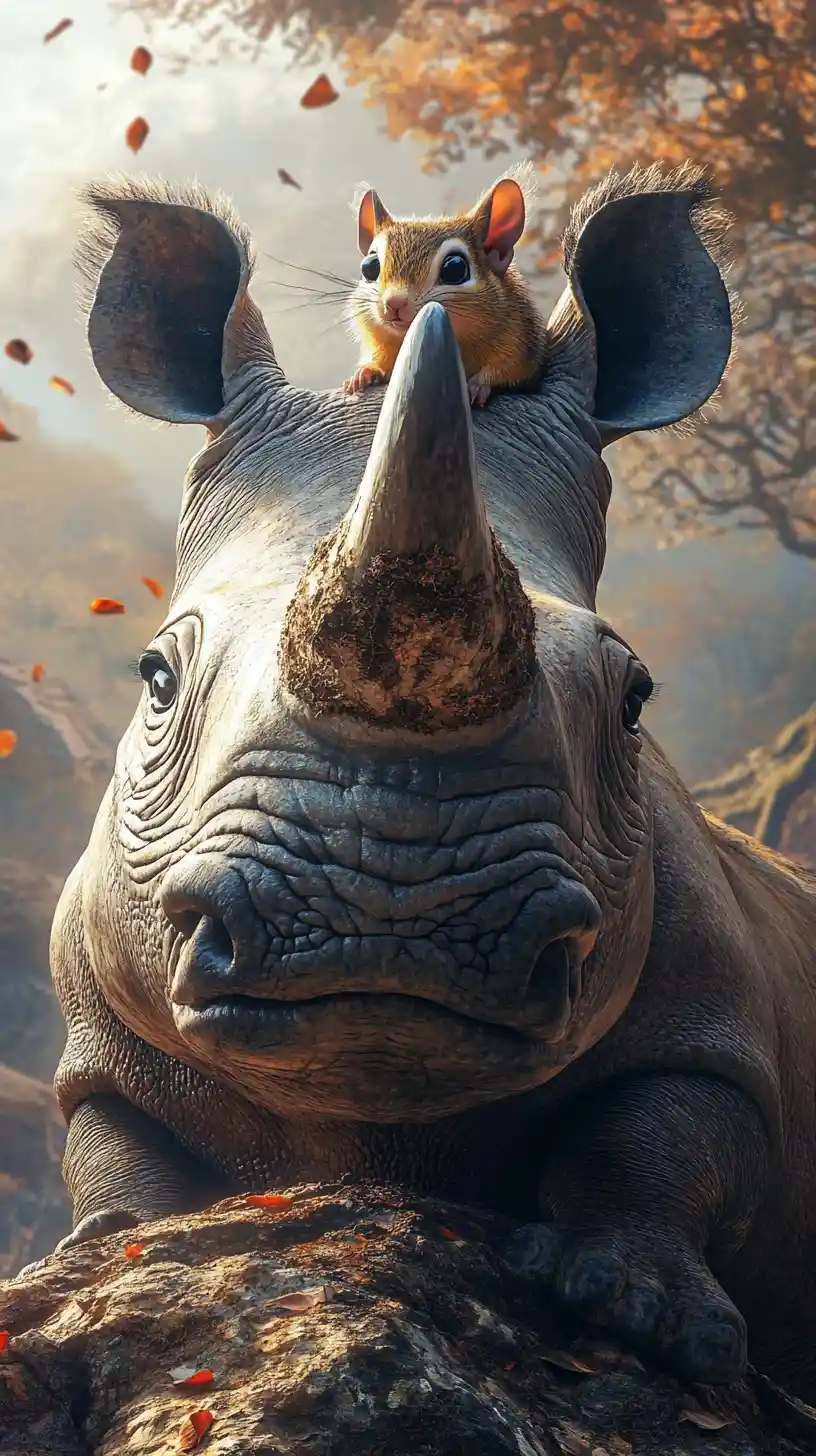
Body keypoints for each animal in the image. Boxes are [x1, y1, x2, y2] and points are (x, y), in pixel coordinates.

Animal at [343, 162, 548, 408]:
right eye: (369, 266)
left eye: (455, 268)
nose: (394, 303)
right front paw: (365, 371)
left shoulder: (522, 344)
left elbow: (509, 370)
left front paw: (479, 385)